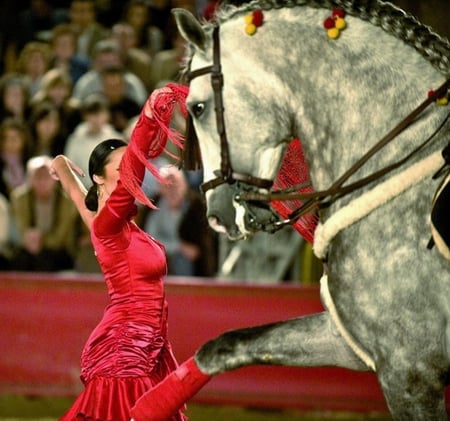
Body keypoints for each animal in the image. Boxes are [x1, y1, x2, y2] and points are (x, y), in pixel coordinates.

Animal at [130, 0, 450, 420]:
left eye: (197, 107)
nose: (216, 216)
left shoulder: (409, 370)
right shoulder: (356, 343)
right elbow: (223, 347)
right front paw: (147, 402)